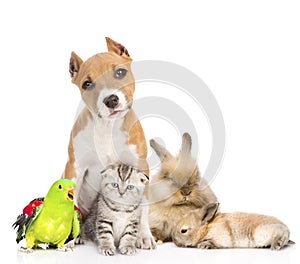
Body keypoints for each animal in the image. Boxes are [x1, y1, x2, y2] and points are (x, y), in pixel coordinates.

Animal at [61, 37, 155, 250]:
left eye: (120, 72)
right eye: (87, 84)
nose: (111, 99)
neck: (107, 127)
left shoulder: (140, 166)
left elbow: (144, 207)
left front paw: (144, 235)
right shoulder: (75, 168)